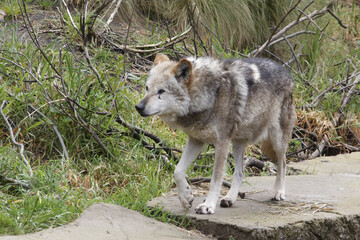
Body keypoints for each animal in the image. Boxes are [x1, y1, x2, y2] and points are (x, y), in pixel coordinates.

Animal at [135, 54, 296, 214]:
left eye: (161, 91)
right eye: (147, 88)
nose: (138, 107)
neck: (209, 94)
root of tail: (286, 71)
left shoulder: (221, 143)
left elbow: (216, 179)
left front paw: (208, 205)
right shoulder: (196, 140)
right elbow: (178, 171)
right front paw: (186, 197)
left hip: (276, 141)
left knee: (283, 163)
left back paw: (279, 192)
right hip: (237, 144)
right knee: (240, 172)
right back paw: (230, 198)